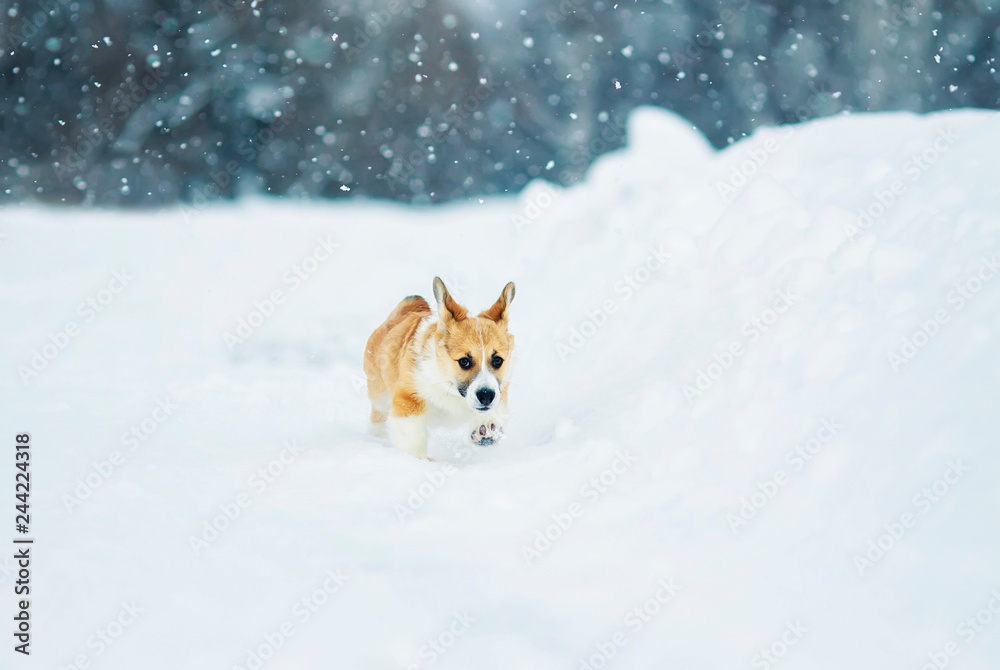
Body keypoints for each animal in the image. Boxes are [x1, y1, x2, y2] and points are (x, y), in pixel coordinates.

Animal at [364, 278, 516, 462]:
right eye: (464, 361)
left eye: (497, 360)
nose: (486, 396)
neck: (449, 386)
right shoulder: (409, 398)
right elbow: (412, 434)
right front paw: (419, 459)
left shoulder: (500, 390)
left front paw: (485, 427)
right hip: (379, 393)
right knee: (378, 416)